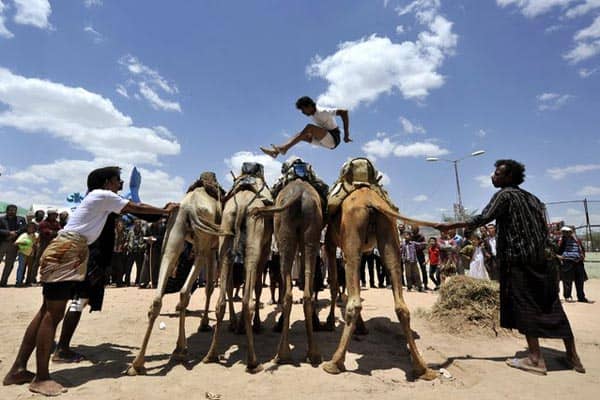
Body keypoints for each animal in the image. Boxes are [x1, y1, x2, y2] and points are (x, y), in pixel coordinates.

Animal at [125, 183, 224, 376]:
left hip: (174, 237)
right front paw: (204, 324)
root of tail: (189, 206)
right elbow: (209, 287)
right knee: (185, 291)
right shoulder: (212, 249)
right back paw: (180, 349)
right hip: (200, 244)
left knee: (159, 298)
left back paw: (138, 363)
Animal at [203, 186, 276, 374]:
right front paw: (255, 325)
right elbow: (257, 287)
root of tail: (242, 204)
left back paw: (211, 355)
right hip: (254, 236)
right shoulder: (265, 250)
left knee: (221, 300)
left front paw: (238, 326)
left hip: (226, 234)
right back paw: (253, 362)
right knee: (247, 300)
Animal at [255, 180, 326, 368]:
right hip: (312, 226)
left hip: (283, 227)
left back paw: (282, 355)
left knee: (287, 289)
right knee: (307, 289)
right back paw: (314, 355)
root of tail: (299, 194)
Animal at [322, 188, 438, 382]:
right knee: (401, 305)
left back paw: (334, 362)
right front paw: (361, 328)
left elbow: (334, 283)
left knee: (354, 301)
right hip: (389, 231)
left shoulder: (330, 244)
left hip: (352, 238)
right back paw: (423, 369)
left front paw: (330, 322)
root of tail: (371, 202)